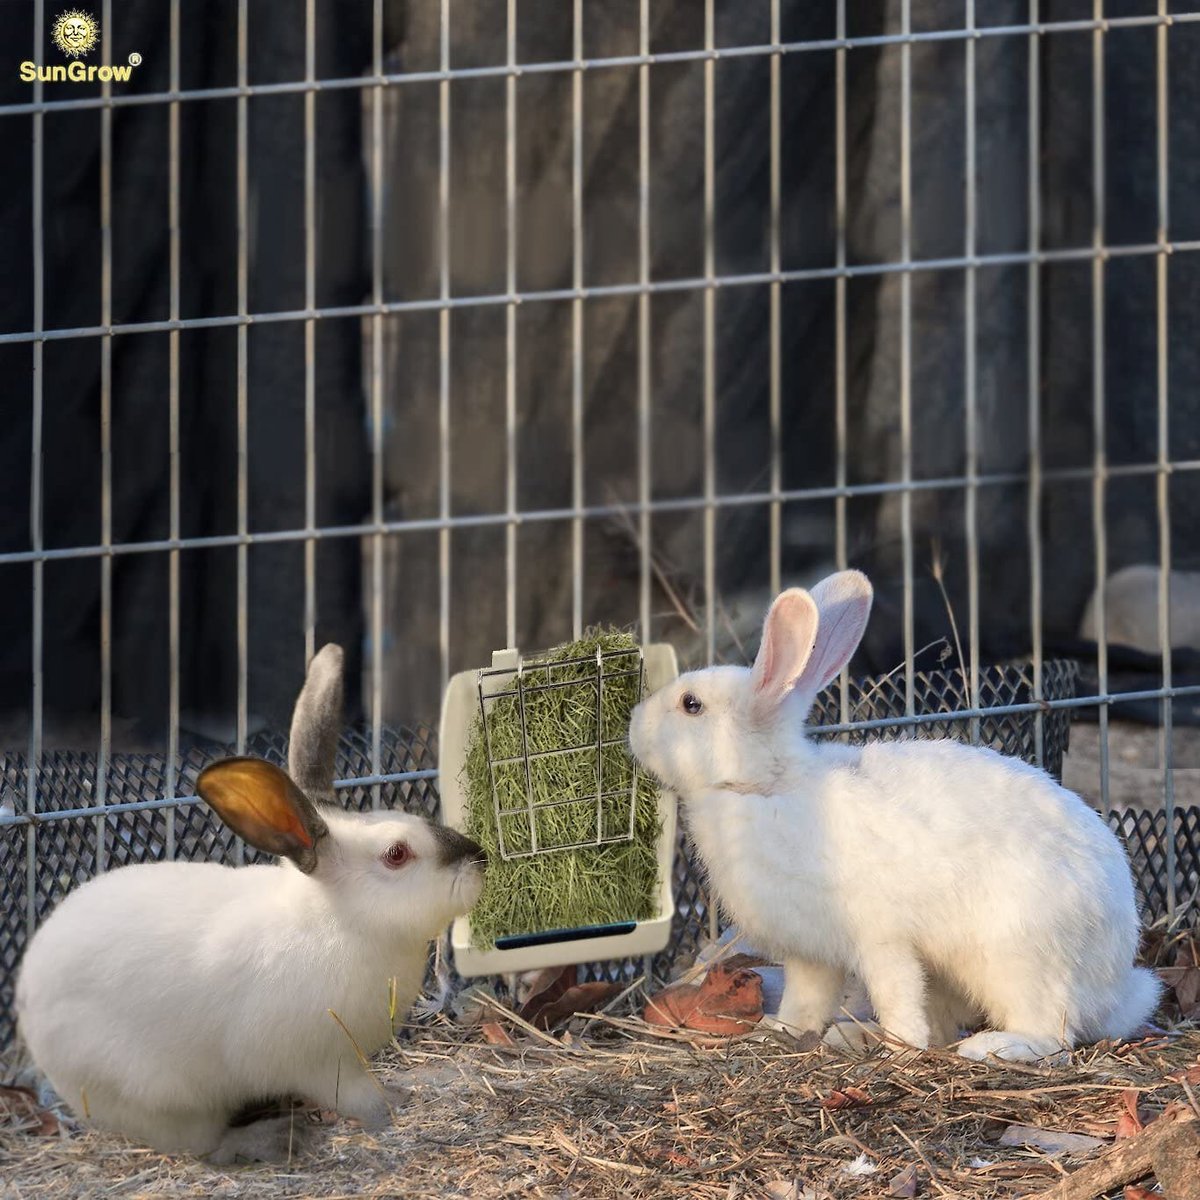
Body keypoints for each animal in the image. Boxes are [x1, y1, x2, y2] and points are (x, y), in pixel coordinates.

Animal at [16, 648, 484, 1161]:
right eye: (396, 854)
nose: (480, 859)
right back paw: (271, 1136)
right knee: (203, 1146)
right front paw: (393, 1105)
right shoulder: (321, 1062)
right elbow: (357, 1095)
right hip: (162, 1101)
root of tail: (25, 1003)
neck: (337, 923)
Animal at [633, 571, 1156, 1060]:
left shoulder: (882, 940)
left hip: (1020, 959)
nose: (635, 727)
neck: (766, 788)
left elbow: (897, 993)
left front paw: (900, 1047)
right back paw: (854, 1035)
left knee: (1052, 1032)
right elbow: (806, 1001)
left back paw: (990, 1047)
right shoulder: (811, 955)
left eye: (691, 705)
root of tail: (1115, 982)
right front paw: (776, 1031)